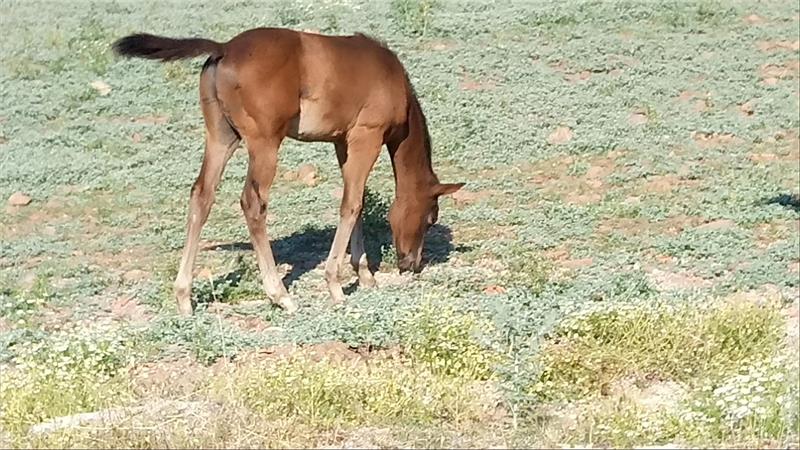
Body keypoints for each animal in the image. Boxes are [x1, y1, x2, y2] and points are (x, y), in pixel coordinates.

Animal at [111, 29, 462, 316]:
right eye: (431, 218)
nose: (411, 264)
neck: (391, 77)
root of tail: (223, 49)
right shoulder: (367, 136)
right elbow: (351, 205)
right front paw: (335, 285)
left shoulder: (342, 141)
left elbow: (357, 203)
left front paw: (363, 273)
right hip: (264, 143)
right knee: (253, 204)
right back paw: (280, 295)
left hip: (221, 138)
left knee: (202, 196)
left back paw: (184, 297)